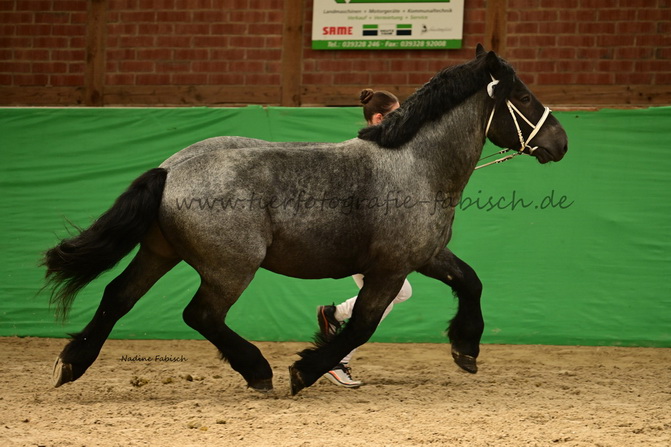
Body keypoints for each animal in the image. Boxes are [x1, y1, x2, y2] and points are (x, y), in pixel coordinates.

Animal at [43, 44, 568, 395]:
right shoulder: (390, 269)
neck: (416, 163)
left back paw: (70, 364)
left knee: (117, 296)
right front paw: (305, 370)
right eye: (523, 95)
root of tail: (171, 168)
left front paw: (466, 349)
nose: (560, 142)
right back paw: (259, 371)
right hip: (230, 267)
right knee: (202, 315)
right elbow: (361, 325)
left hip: (159, 253)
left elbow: (471, 281)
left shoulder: (424, 256)